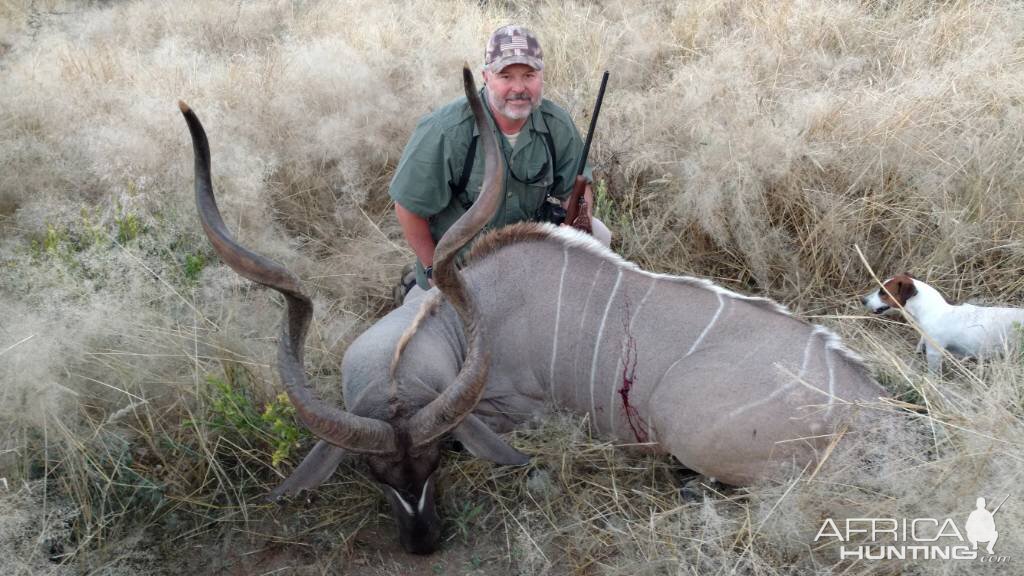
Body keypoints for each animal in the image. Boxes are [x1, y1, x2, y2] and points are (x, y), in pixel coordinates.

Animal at [180, 66, 884, 553]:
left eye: (435, 464)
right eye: (374, 472)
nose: (423, 544)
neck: (464, 319)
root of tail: (875, 412)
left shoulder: (517, 411)